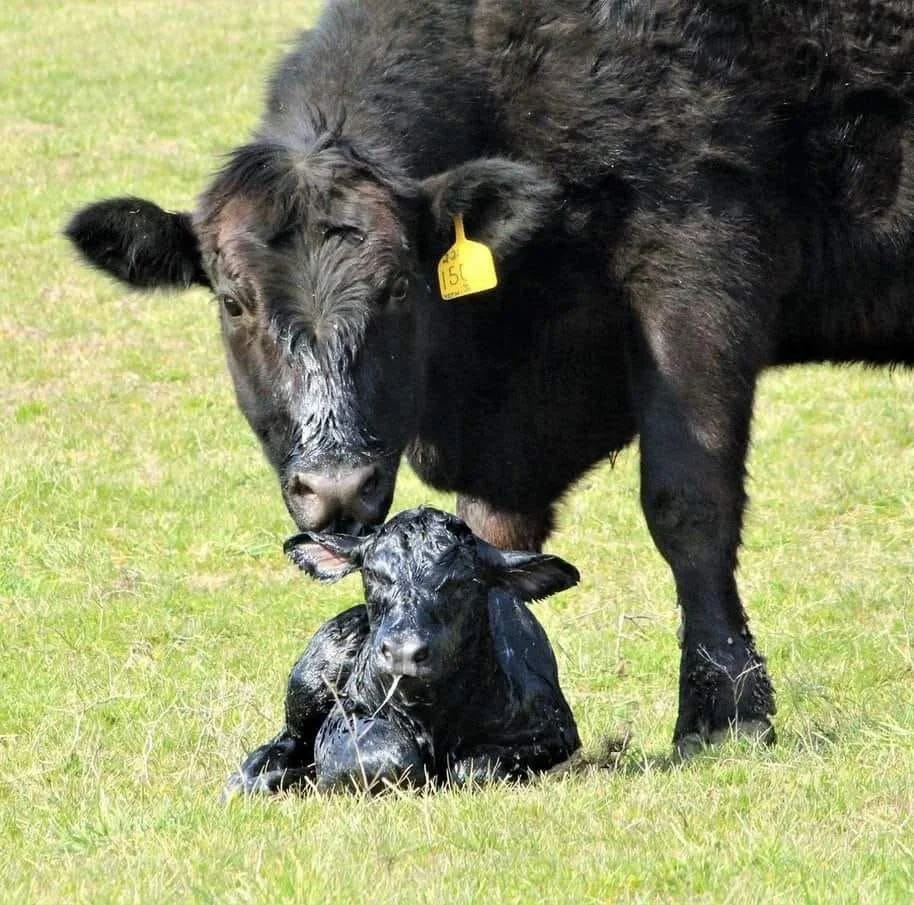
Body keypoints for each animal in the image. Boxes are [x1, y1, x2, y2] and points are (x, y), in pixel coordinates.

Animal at [65, 1, 914, 753]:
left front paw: (725, 713)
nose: (336, 486)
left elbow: (688, 503)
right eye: (232, 300)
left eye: (400, 286)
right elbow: (493, 536)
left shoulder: (700, 266)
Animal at [223, 507, 581, 795]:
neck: (429, 713)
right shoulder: (342, 723)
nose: (402, 652)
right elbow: (387, 760)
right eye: (373, 574)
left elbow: (474, 768)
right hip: (309, 680)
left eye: (463, 581)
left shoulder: (553, 733)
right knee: (285, 739)